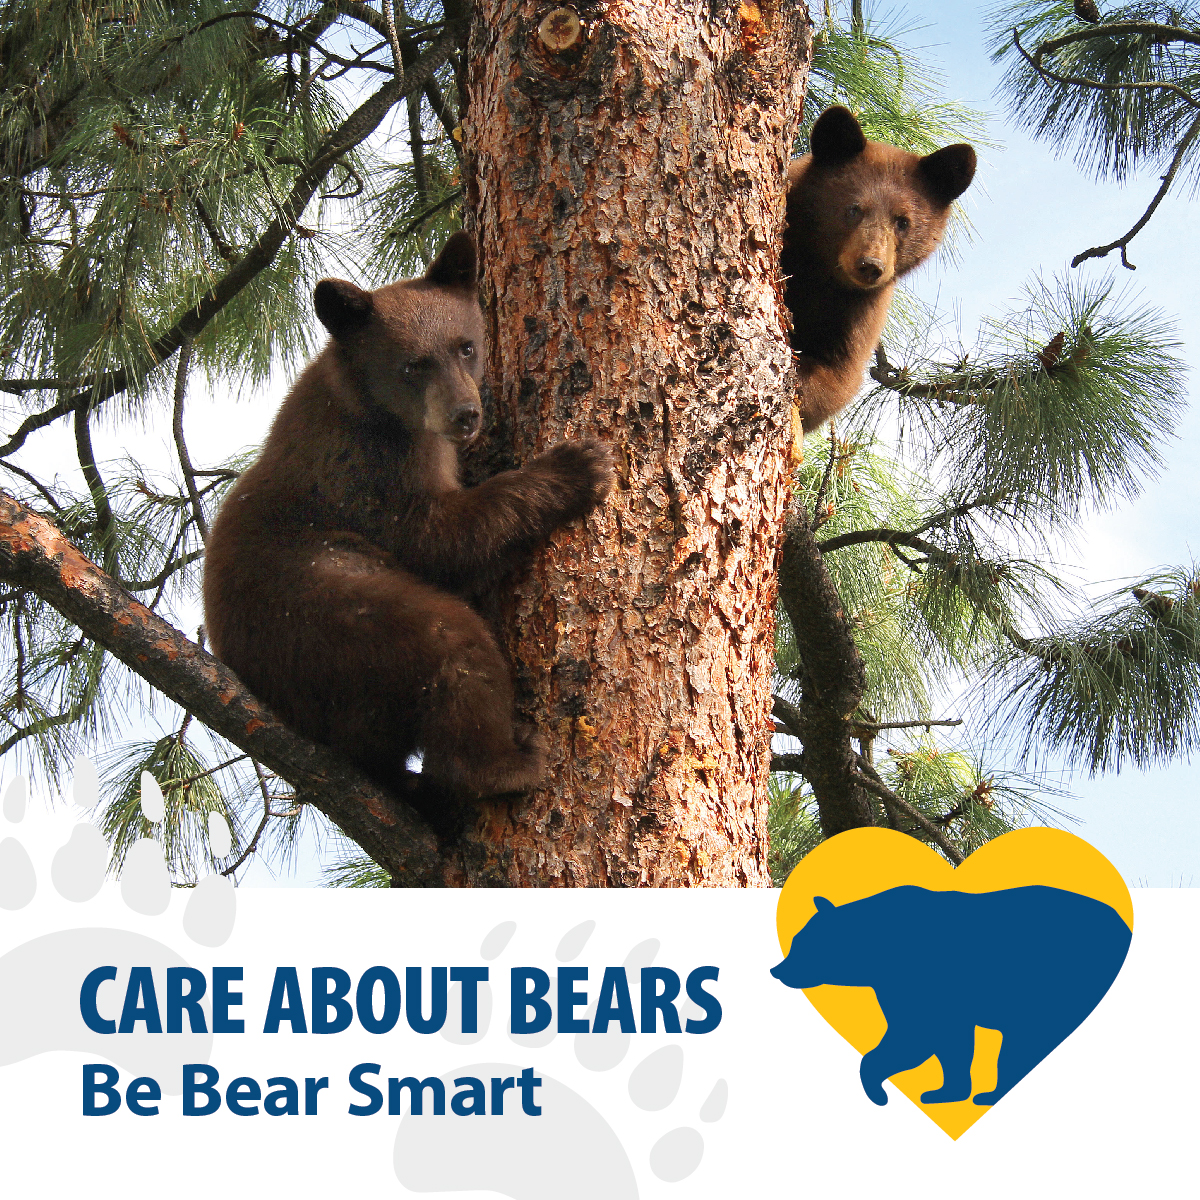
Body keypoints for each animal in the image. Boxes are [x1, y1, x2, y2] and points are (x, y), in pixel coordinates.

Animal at [202, 232, 613, 813]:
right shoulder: (365, 468)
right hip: (318, 611)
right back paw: (502, 766)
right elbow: (439, 539)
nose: (465, 415)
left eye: (466, 346)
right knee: (448, 641)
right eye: (414, 365)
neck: (374, 407)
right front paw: (578, 467)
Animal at [770, 885, 1132, 1107]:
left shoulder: (921, 982)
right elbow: (945, 1043)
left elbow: (917, 1035)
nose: (777, 970)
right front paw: (944, 1091)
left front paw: (878, 1088)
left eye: (802, 943)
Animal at [781, 105, 977, 432]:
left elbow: (839, 375)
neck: (823, 276)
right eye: (853, 209)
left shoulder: (861, 310)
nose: (871, 265)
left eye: (903, 221)